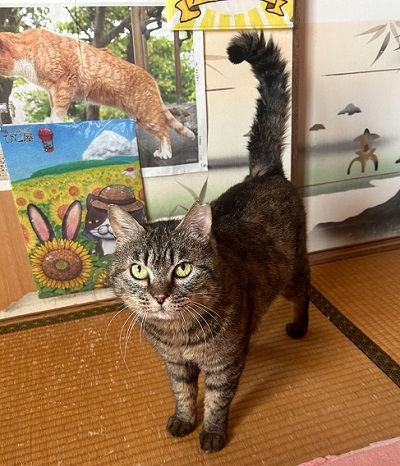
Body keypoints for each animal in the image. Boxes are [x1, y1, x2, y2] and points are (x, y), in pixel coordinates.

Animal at [0, 28, 195, 159]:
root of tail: (150, 78)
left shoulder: (62, 83)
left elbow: (59, 109)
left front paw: (55, 120)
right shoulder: (51, 90)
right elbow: (54, 105)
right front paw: (51, 118)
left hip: (145, 114)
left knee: (163, 131)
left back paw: (166, 152)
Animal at [108, 32, 310, 453]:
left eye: (182, 268)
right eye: (138, 270)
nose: (160, 295)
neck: (178, 336)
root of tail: (264, 172)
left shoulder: (223, 365)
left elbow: (218, 400)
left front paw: (213, 433)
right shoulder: (174, 364)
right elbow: (183, 393)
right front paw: (185, 420)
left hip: (293, 271)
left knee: (306, 290)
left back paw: (300, 326)